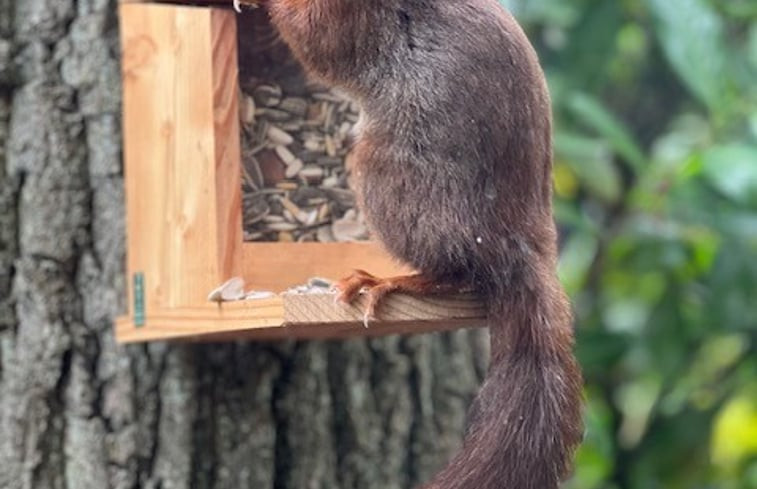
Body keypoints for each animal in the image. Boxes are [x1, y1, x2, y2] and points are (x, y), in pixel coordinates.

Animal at [256, 1, 580, 486]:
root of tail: (520, 247)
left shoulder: (355, 21)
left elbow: (318, 39)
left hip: (391, 181)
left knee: (458, 269)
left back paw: (389, 282)